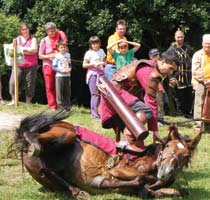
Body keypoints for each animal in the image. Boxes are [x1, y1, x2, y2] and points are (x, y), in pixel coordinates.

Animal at [11, 111, 202, 199]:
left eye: (185, 155)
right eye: (168, 145)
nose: (166, 171)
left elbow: (175, 191)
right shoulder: (117, 170)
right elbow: (140, 180)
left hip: (44, 172)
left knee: (49, 171)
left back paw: (78, 191)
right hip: (67, 133)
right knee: (33, 137)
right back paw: (33, 141)